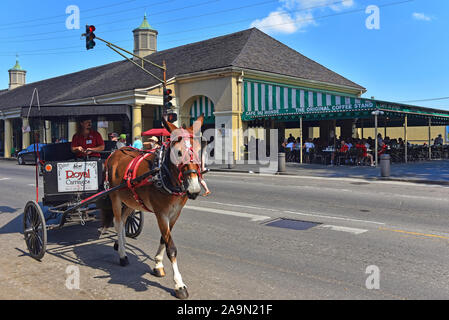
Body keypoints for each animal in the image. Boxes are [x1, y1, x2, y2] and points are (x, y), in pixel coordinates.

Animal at [100, 115, 204, 300]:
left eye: (199, 150)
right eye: (178, 153)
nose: (194, 189)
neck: (163, 174)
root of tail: (116, 152)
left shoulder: (175, 213)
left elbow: (164, 238)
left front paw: (158, 264)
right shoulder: (161, 213)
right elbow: (171, 248)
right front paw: (179, 284)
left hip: (131, 201)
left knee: (125, 220)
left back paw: (121, 244)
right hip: (115, 197)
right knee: (118, 223)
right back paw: (122, 255)